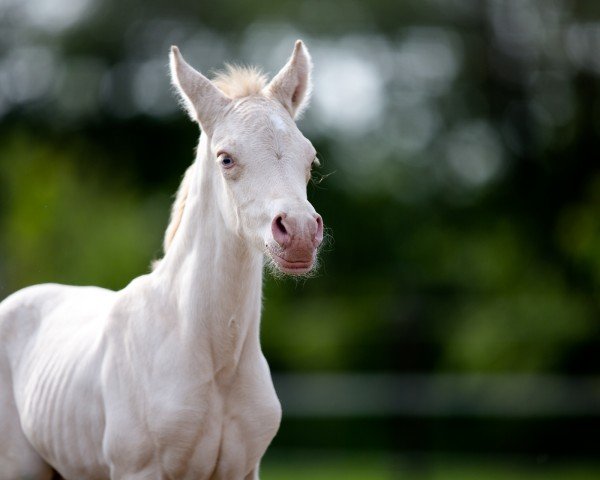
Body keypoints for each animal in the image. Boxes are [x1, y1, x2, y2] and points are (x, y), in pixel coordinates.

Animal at [0, 41, 324, 480]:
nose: (301, 234)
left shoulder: (243, 470)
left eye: (311, 159)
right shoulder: (139, 469)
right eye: (226, 158)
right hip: (20, 466)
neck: (214, 361)